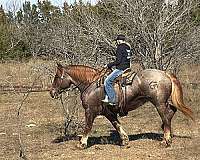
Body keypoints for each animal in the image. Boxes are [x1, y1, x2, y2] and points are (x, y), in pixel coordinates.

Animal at [48, 62, 194, 149]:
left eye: (57, 77)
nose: (52, 92)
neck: (91, 84)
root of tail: (165, 73)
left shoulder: (90, 111)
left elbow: (88, 127)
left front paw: (82, 143)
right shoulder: (109, 113)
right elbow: (117, 125)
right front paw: (125, 140)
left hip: (159, 104)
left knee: (166, 116)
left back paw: (166, 140)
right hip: (163, 103)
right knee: (171, 112)